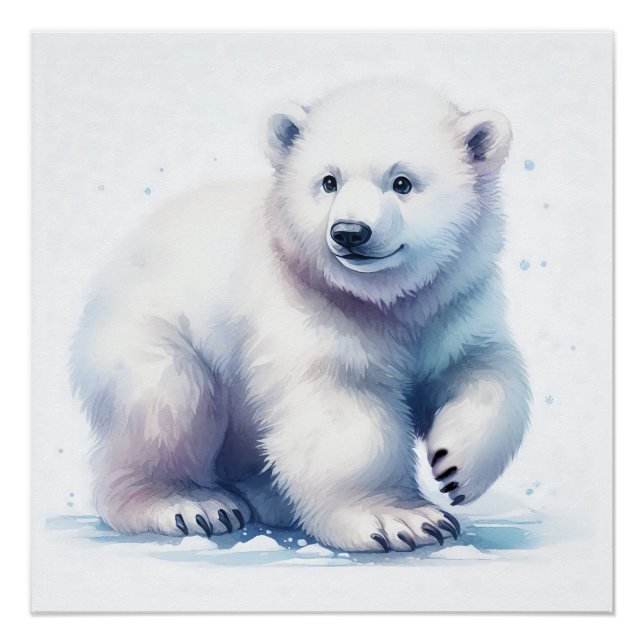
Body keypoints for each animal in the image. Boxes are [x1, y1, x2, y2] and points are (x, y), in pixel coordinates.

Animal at [70, 80, 530, 553]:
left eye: (402, 182)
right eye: (329, 181)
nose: (349, 232)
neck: (382, 299)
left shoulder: (453, 303)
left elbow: (483, 369)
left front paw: (455, 467)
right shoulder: (309, 309)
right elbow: (339, 406)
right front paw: (402, 519)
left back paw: (267, 497)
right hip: (147, 333)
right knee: (171, 403)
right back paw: (189, 502)